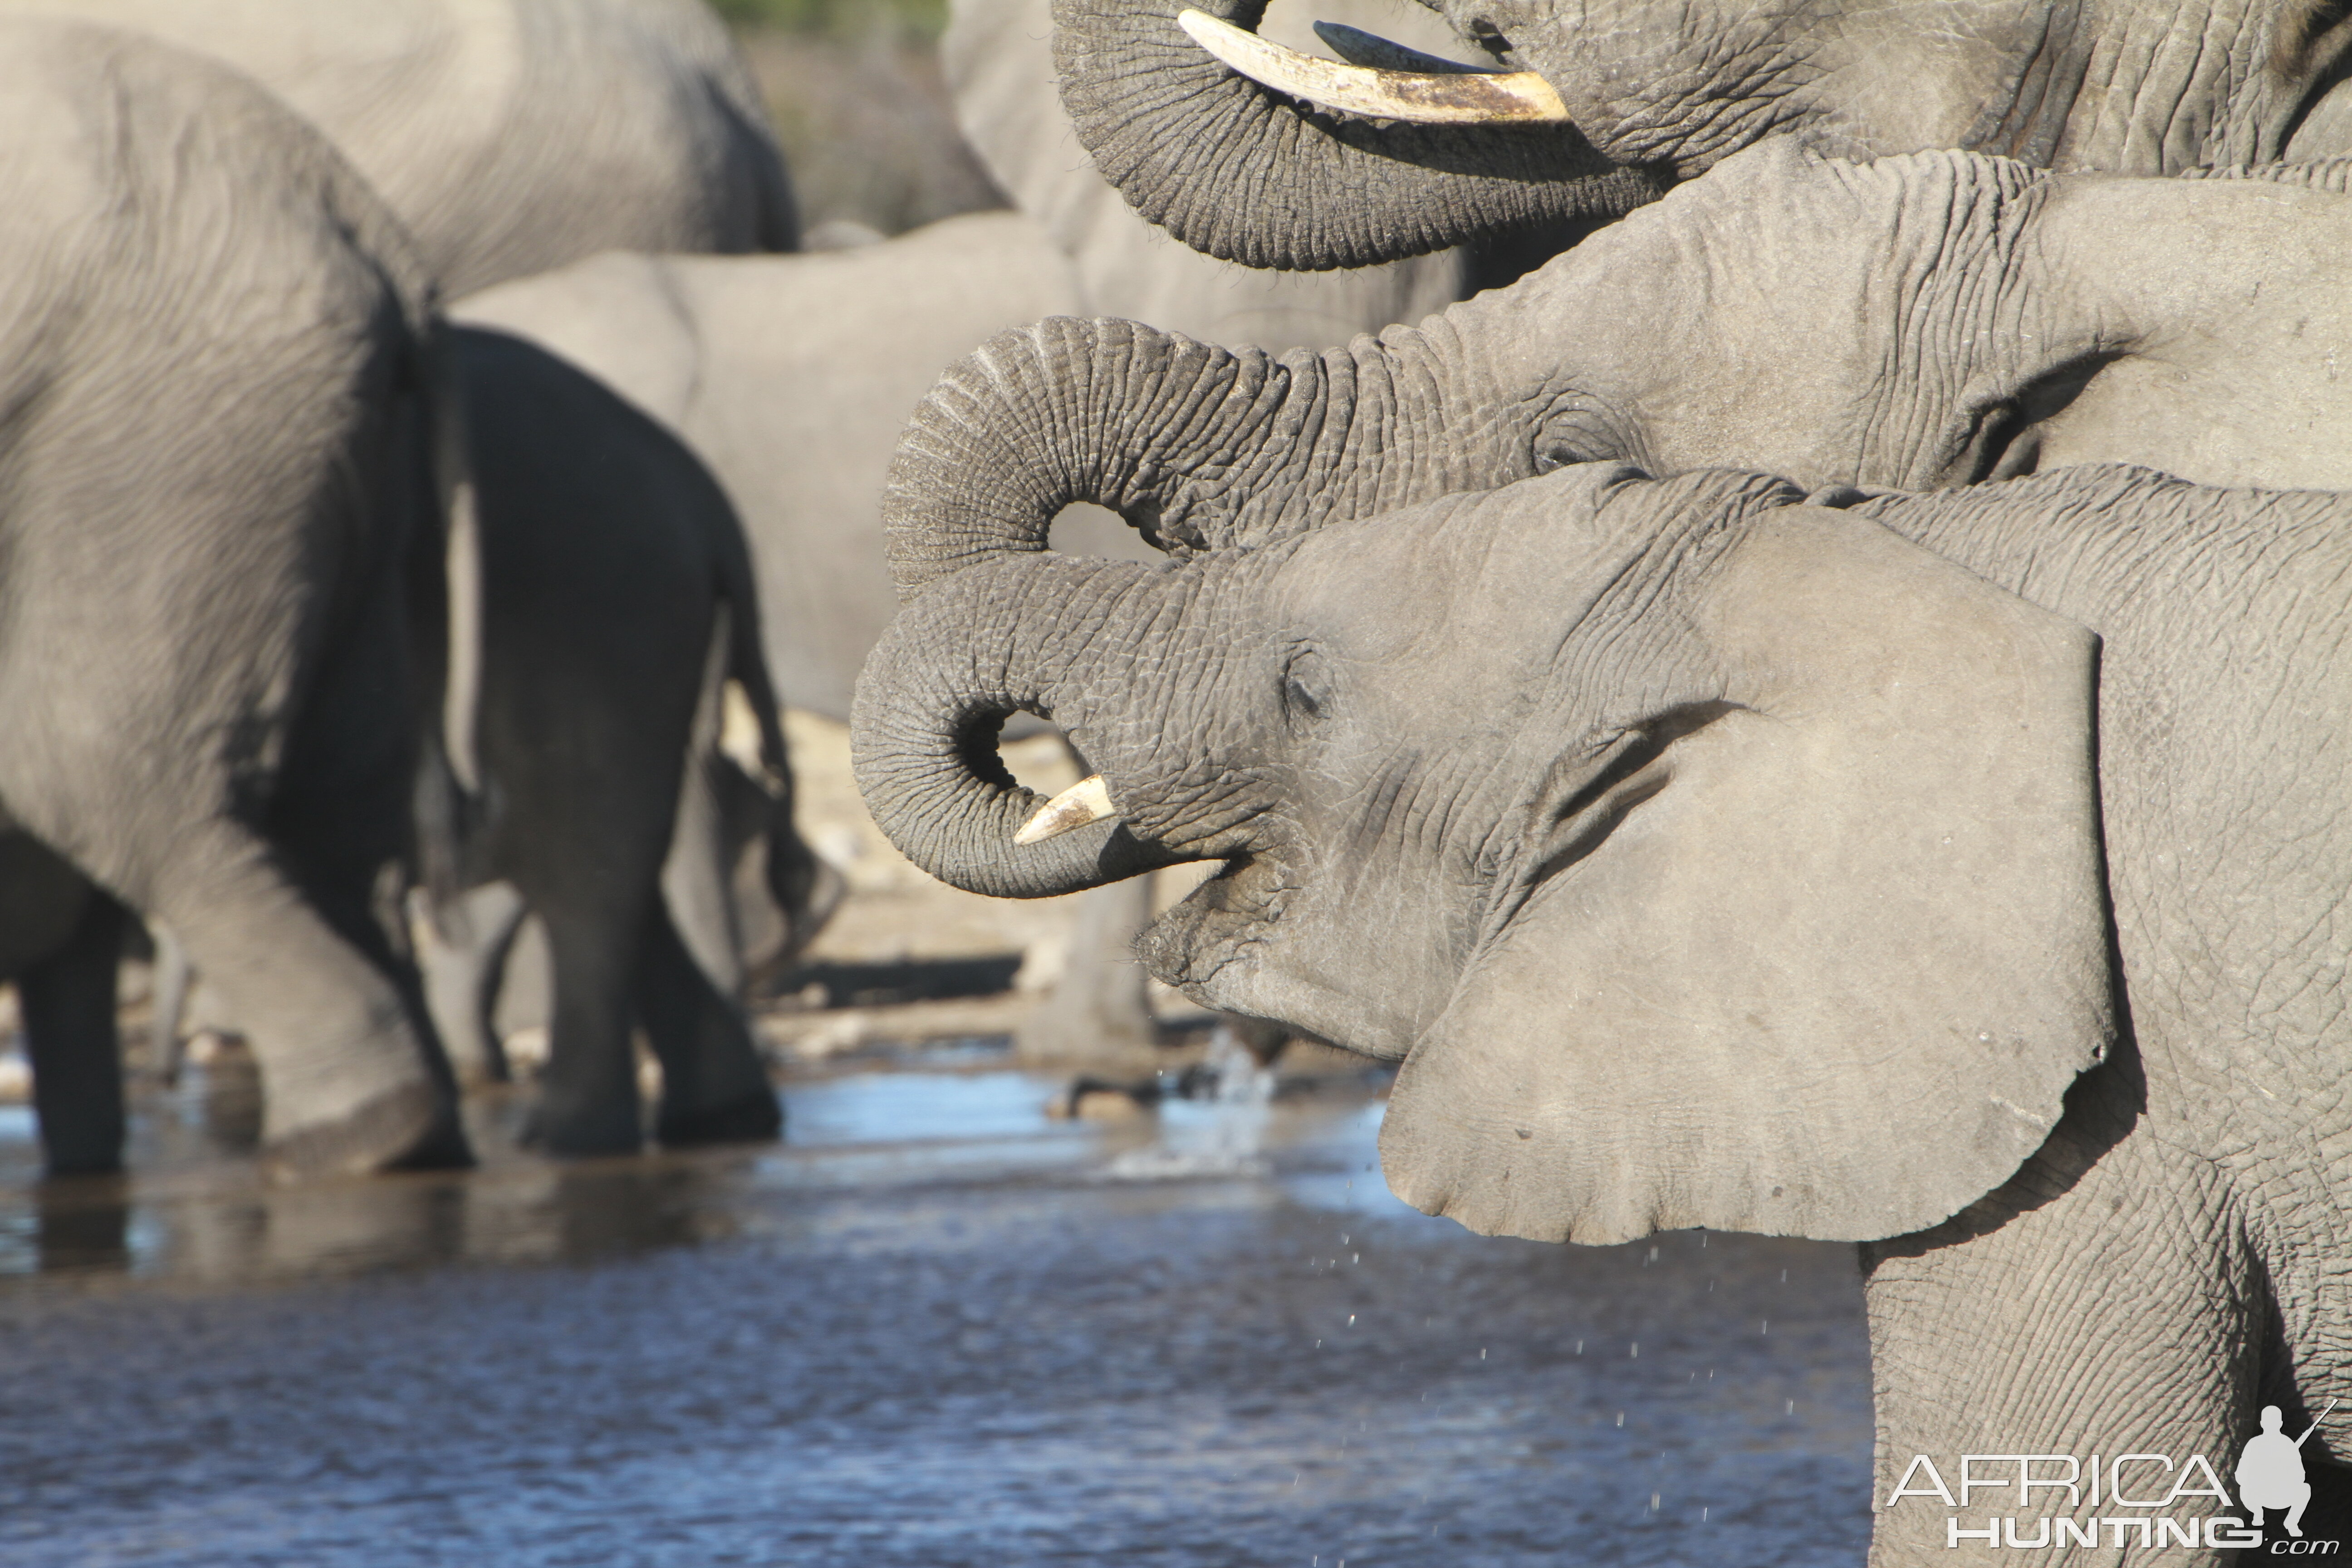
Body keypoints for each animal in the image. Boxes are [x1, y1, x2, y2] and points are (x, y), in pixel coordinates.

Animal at [0, 18, 477, 1175]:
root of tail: (370, 228)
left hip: (167, 441)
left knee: (102, 781)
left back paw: (354, 1139)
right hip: (339, 463)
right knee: (333, 824)